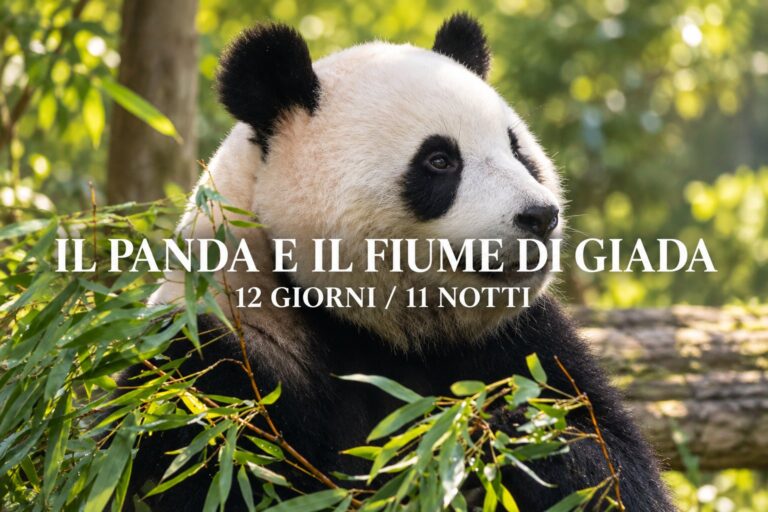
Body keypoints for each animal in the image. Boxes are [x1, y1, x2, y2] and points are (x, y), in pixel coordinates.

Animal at [125, 13, 674, 511]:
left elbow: (613, 467)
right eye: (439, 160)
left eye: (519, 151)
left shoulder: (525, 342)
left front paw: (503, 438)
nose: (540, 216)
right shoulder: (218, 363)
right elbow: (220, 471)